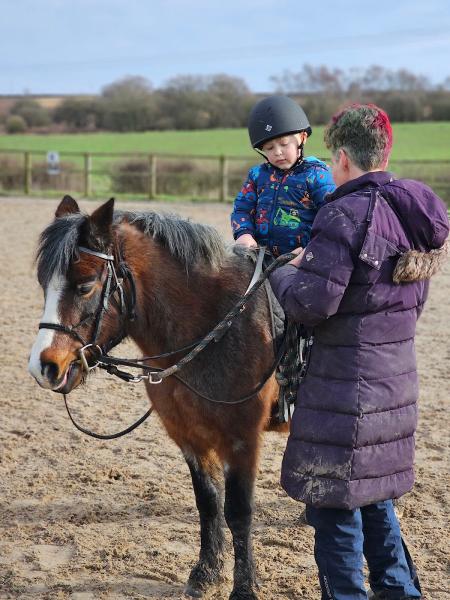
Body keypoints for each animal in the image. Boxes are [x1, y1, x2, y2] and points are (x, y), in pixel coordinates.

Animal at [29, 197, 288, 600]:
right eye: (44, 284)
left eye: (85, 286)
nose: (44, 366)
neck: (217, 321)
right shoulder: (189, 436)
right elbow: (208, 503)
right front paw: (205, 573)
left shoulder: (242, 439)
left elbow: (239, 511)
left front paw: (244, 587)